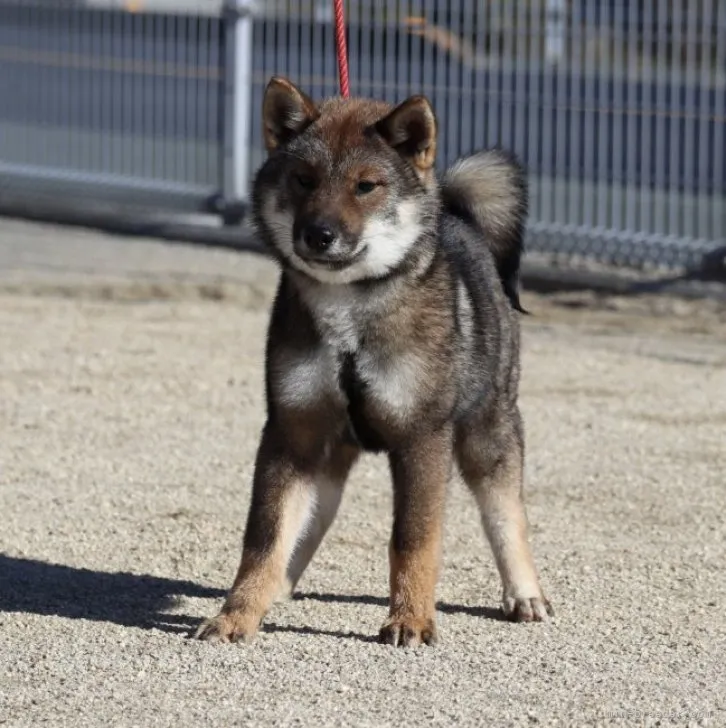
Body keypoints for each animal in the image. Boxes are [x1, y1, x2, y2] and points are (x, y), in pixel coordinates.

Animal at [196, 77, 556, 644]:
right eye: (304, 179)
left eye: (366, 186)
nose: (318, 233)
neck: (349, 315)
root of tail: (460, 220)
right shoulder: (290, 432)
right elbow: (265, 538)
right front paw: (237, 614)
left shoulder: (421, 440)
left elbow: (413, 540)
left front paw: (410, 619)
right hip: (326, 460)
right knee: (305, 526)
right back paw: (279, 590)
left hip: (487, 434)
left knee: (506, 515)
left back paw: (524, 594)